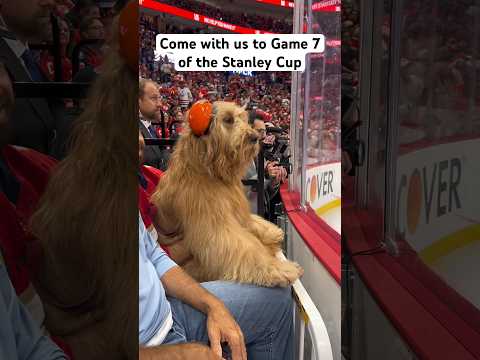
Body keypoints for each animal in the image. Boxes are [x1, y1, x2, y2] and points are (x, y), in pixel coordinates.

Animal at [153, 101, 304, 286]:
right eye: (228, 120)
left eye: (242, 118)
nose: (254, 137)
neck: (207, 169)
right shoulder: (215, 228)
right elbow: (247, 248)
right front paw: (278, 268)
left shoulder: (237, 211)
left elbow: (251, 223)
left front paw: (271, 232)